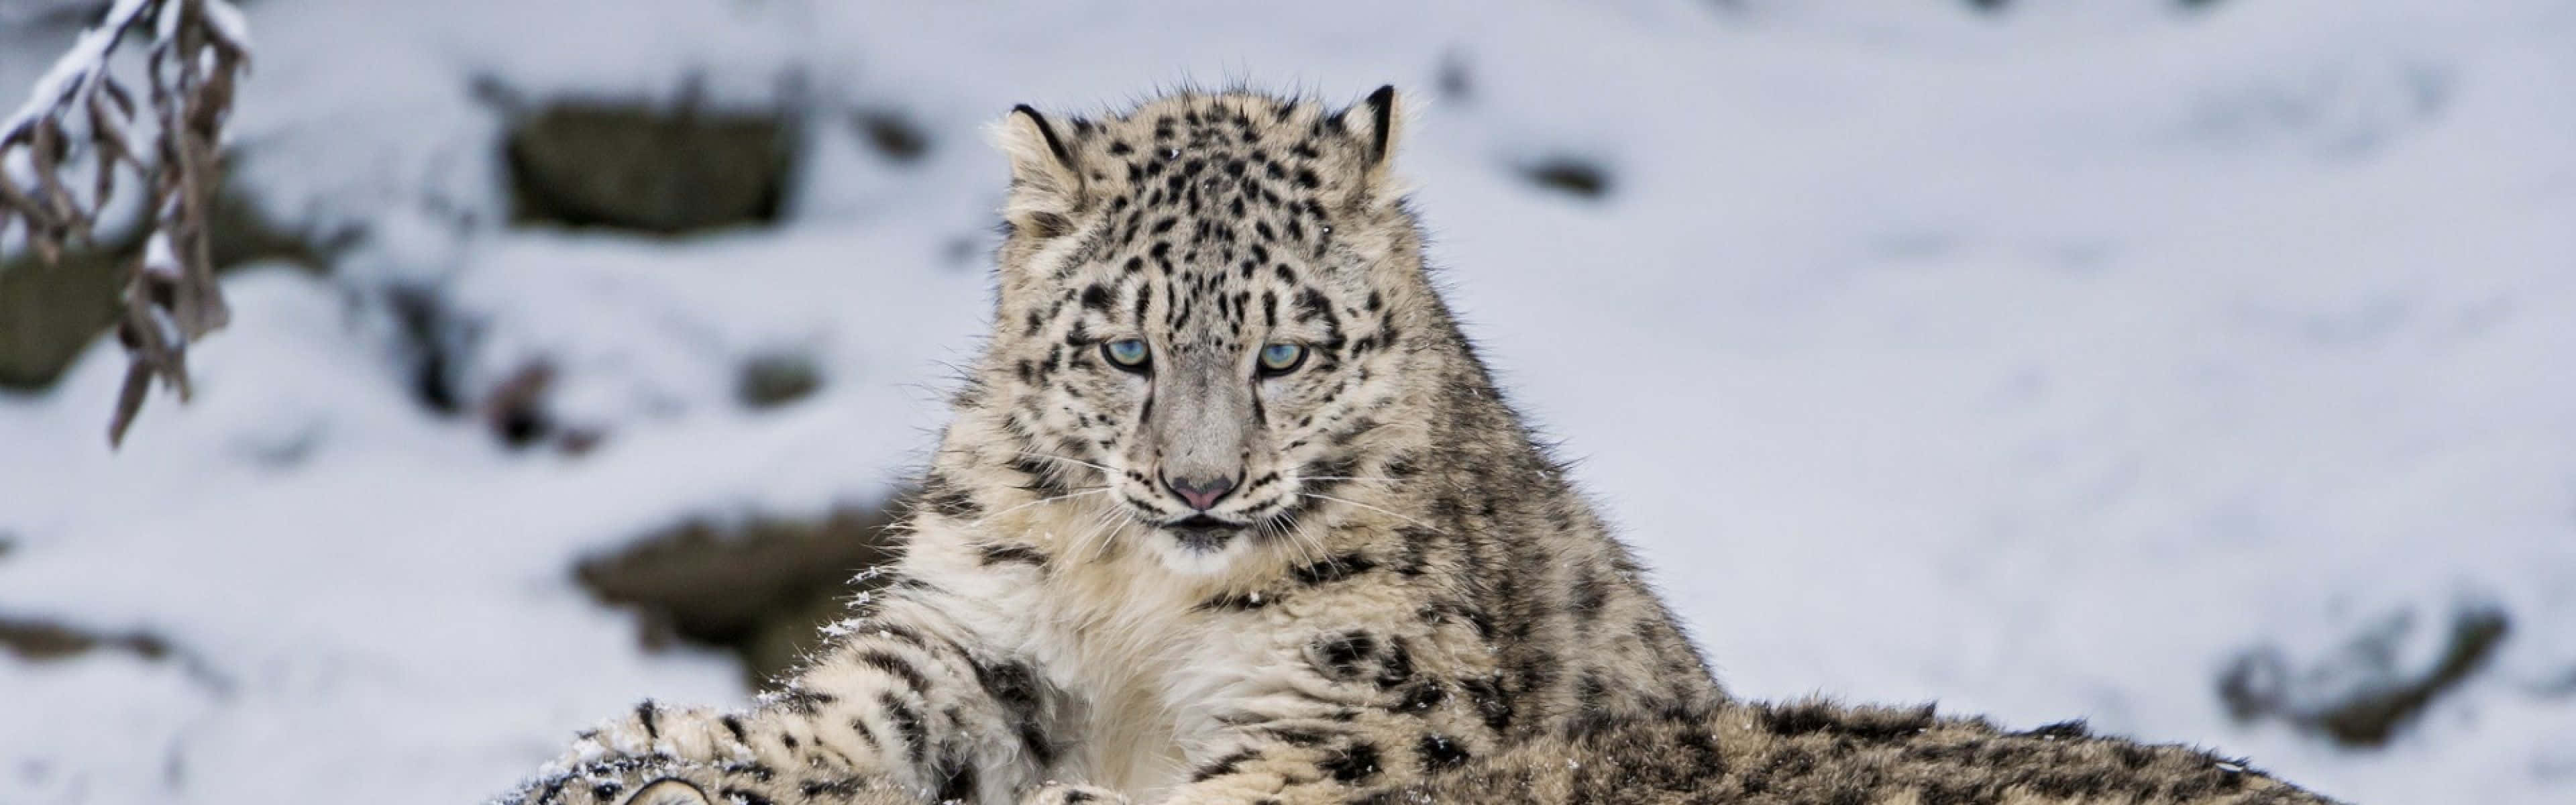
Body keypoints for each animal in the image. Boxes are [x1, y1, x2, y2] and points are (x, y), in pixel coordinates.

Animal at [492, 87, 2349, 805]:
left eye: (1285, 347)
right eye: (1123, 343)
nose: (1198, 484)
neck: (1138, 608)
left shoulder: (1354, 715)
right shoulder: (983, 630)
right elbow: (859, 713)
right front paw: (660, 742)